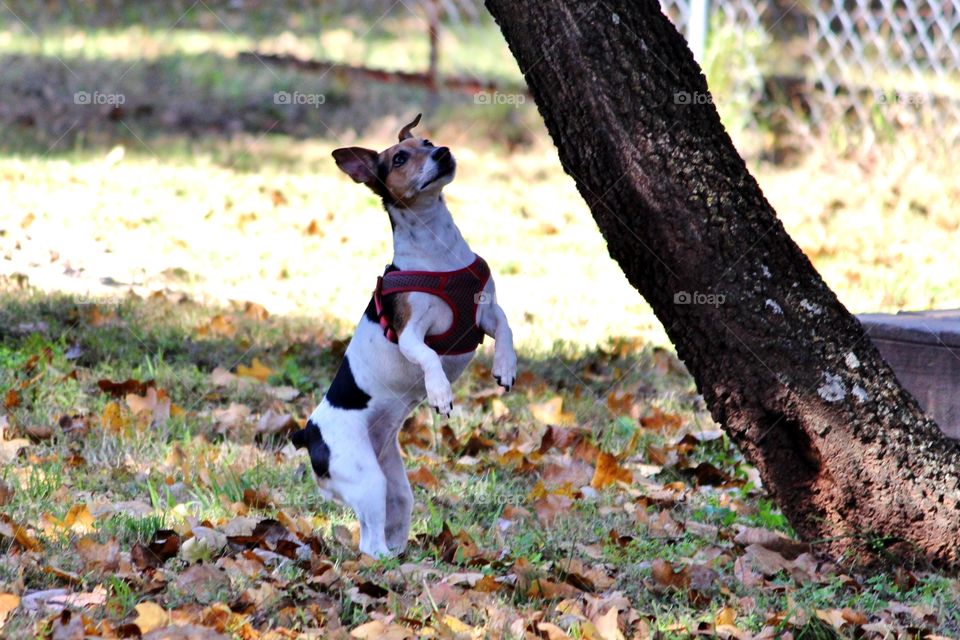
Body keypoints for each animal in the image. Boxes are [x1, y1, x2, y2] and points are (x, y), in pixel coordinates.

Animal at [290, 117, 516, 556]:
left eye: (427, 142)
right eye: (398, 158)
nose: (443, 152)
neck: (438, 249)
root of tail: (308, 434)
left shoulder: (486, 312)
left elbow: (507, 329)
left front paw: (505, 367)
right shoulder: (411, 334)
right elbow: (428, 357)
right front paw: (440, 392)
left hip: (392, 478)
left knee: (393, 515)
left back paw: (404, 550)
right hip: (365, 477)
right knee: (369, 543)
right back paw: (389, 561)